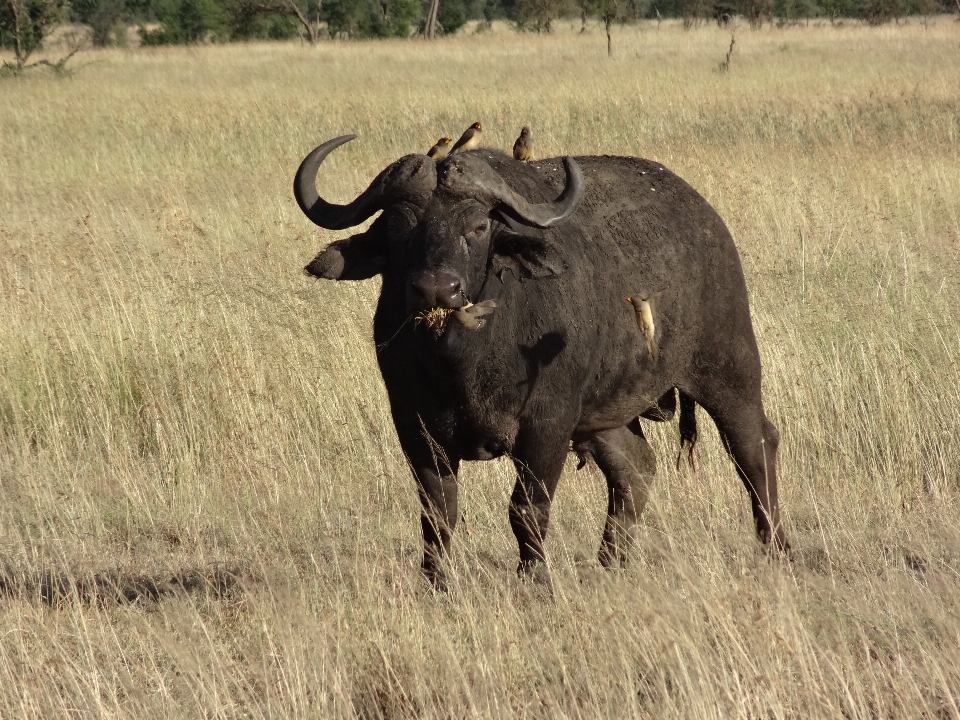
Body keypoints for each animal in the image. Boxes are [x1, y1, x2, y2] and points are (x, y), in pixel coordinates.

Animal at [294, 136, 788, 592]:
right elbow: (437, 511)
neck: (461, 362)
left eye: (478, 226)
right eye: (398, 225)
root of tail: (706, 219)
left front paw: (535, 582)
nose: (436, 289)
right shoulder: (414, 425)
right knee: (636, 468)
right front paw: (436, 584)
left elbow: (526, 509)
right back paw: (609, 564)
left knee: (754, 446)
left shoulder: (548, 424)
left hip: (727, 366)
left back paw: (775, 546)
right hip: (605, 413)